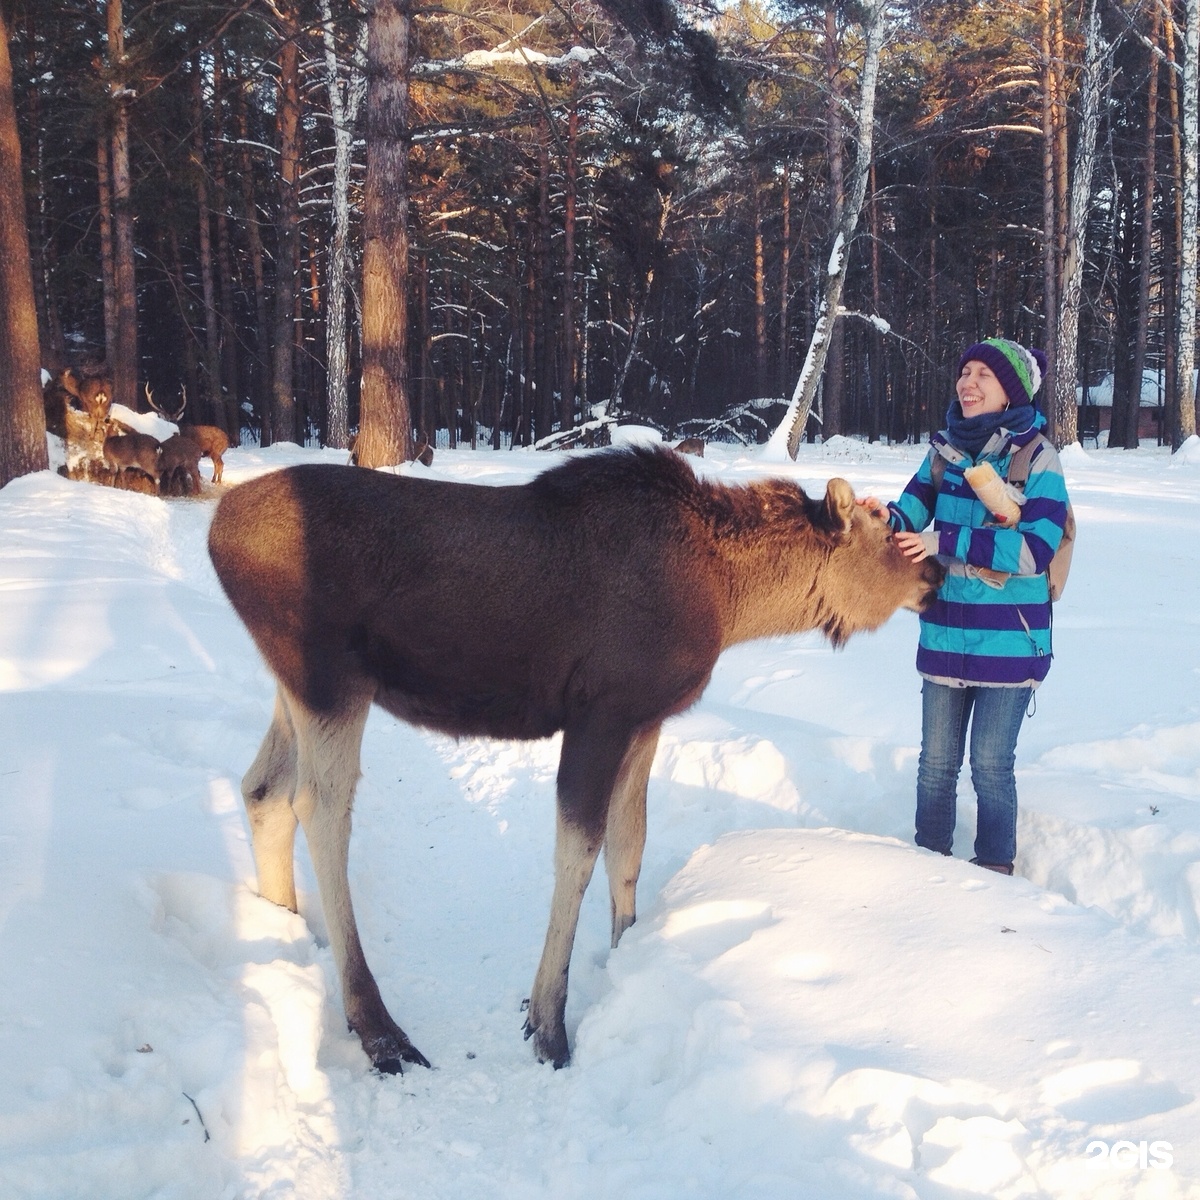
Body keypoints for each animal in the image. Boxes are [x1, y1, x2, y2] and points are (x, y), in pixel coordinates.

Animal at [208, 446, 945, 1075]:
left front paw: (626, 956)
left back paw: (284, 928)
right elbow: (579, 850)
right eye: (886, 530)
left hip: (295, 686)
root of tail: (215, 531)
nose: (936, 572)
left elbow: (630, 845)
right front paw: (548, 1023)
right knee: (320, 807)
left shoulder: (648, 717)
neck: (733, 601)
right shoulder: (602, 710)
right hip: (330, 674)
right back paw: (378, 1026)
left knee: (262, 789)